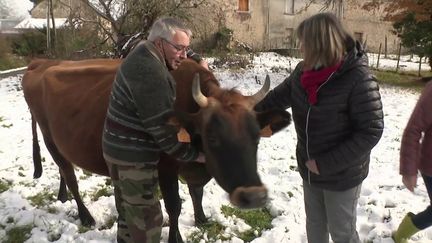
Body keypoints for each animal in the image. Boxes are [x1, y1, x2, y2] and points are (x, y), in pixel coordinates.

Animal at [21, 58, 290, 242]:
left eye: (257, 137)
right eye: (212, 137)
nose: (254, 196)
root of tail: (42, 63)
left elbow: (197, 193)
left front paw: (202, 218)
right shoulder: (166, 168)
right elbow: (174, 206)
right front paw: (176, 238)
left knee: (62, 170)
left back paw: (61, 196)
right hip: (49, 137)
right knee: (70, 176)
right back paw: (85, 215)